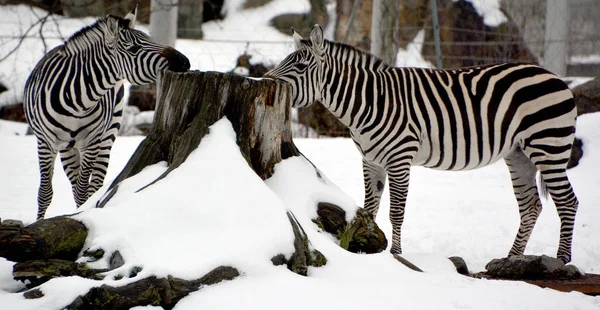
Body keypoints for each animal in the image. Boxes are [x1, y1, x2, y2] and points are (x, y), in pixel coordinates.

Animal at [24, 7, 190, 220]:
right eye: (134, 49)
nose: (185, 62)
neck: (77, 103)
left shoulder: (92, 141)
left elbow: (83, 190)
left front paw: (81, 215)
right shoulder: (44, 142)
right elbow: (45, 192)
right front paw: (40, 222)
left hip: (108, 134)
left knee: (94, 184)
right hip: (67, 148)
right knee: (74, 183)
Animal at [264, 24, 580, 262]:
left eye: (301, 65)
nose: (263, 79)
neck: (370, 101)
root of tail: (556, 77)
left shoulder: (399, 159)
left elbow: (396, 212)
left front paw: (396, 255)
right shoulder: (370, 160)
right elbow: (369, 209)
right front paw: (365, 246)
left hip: (548, 145)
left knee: (567, 201)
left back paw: (561, 261)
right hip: (519, 153)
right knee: (531, 206)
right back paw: (511, 259)